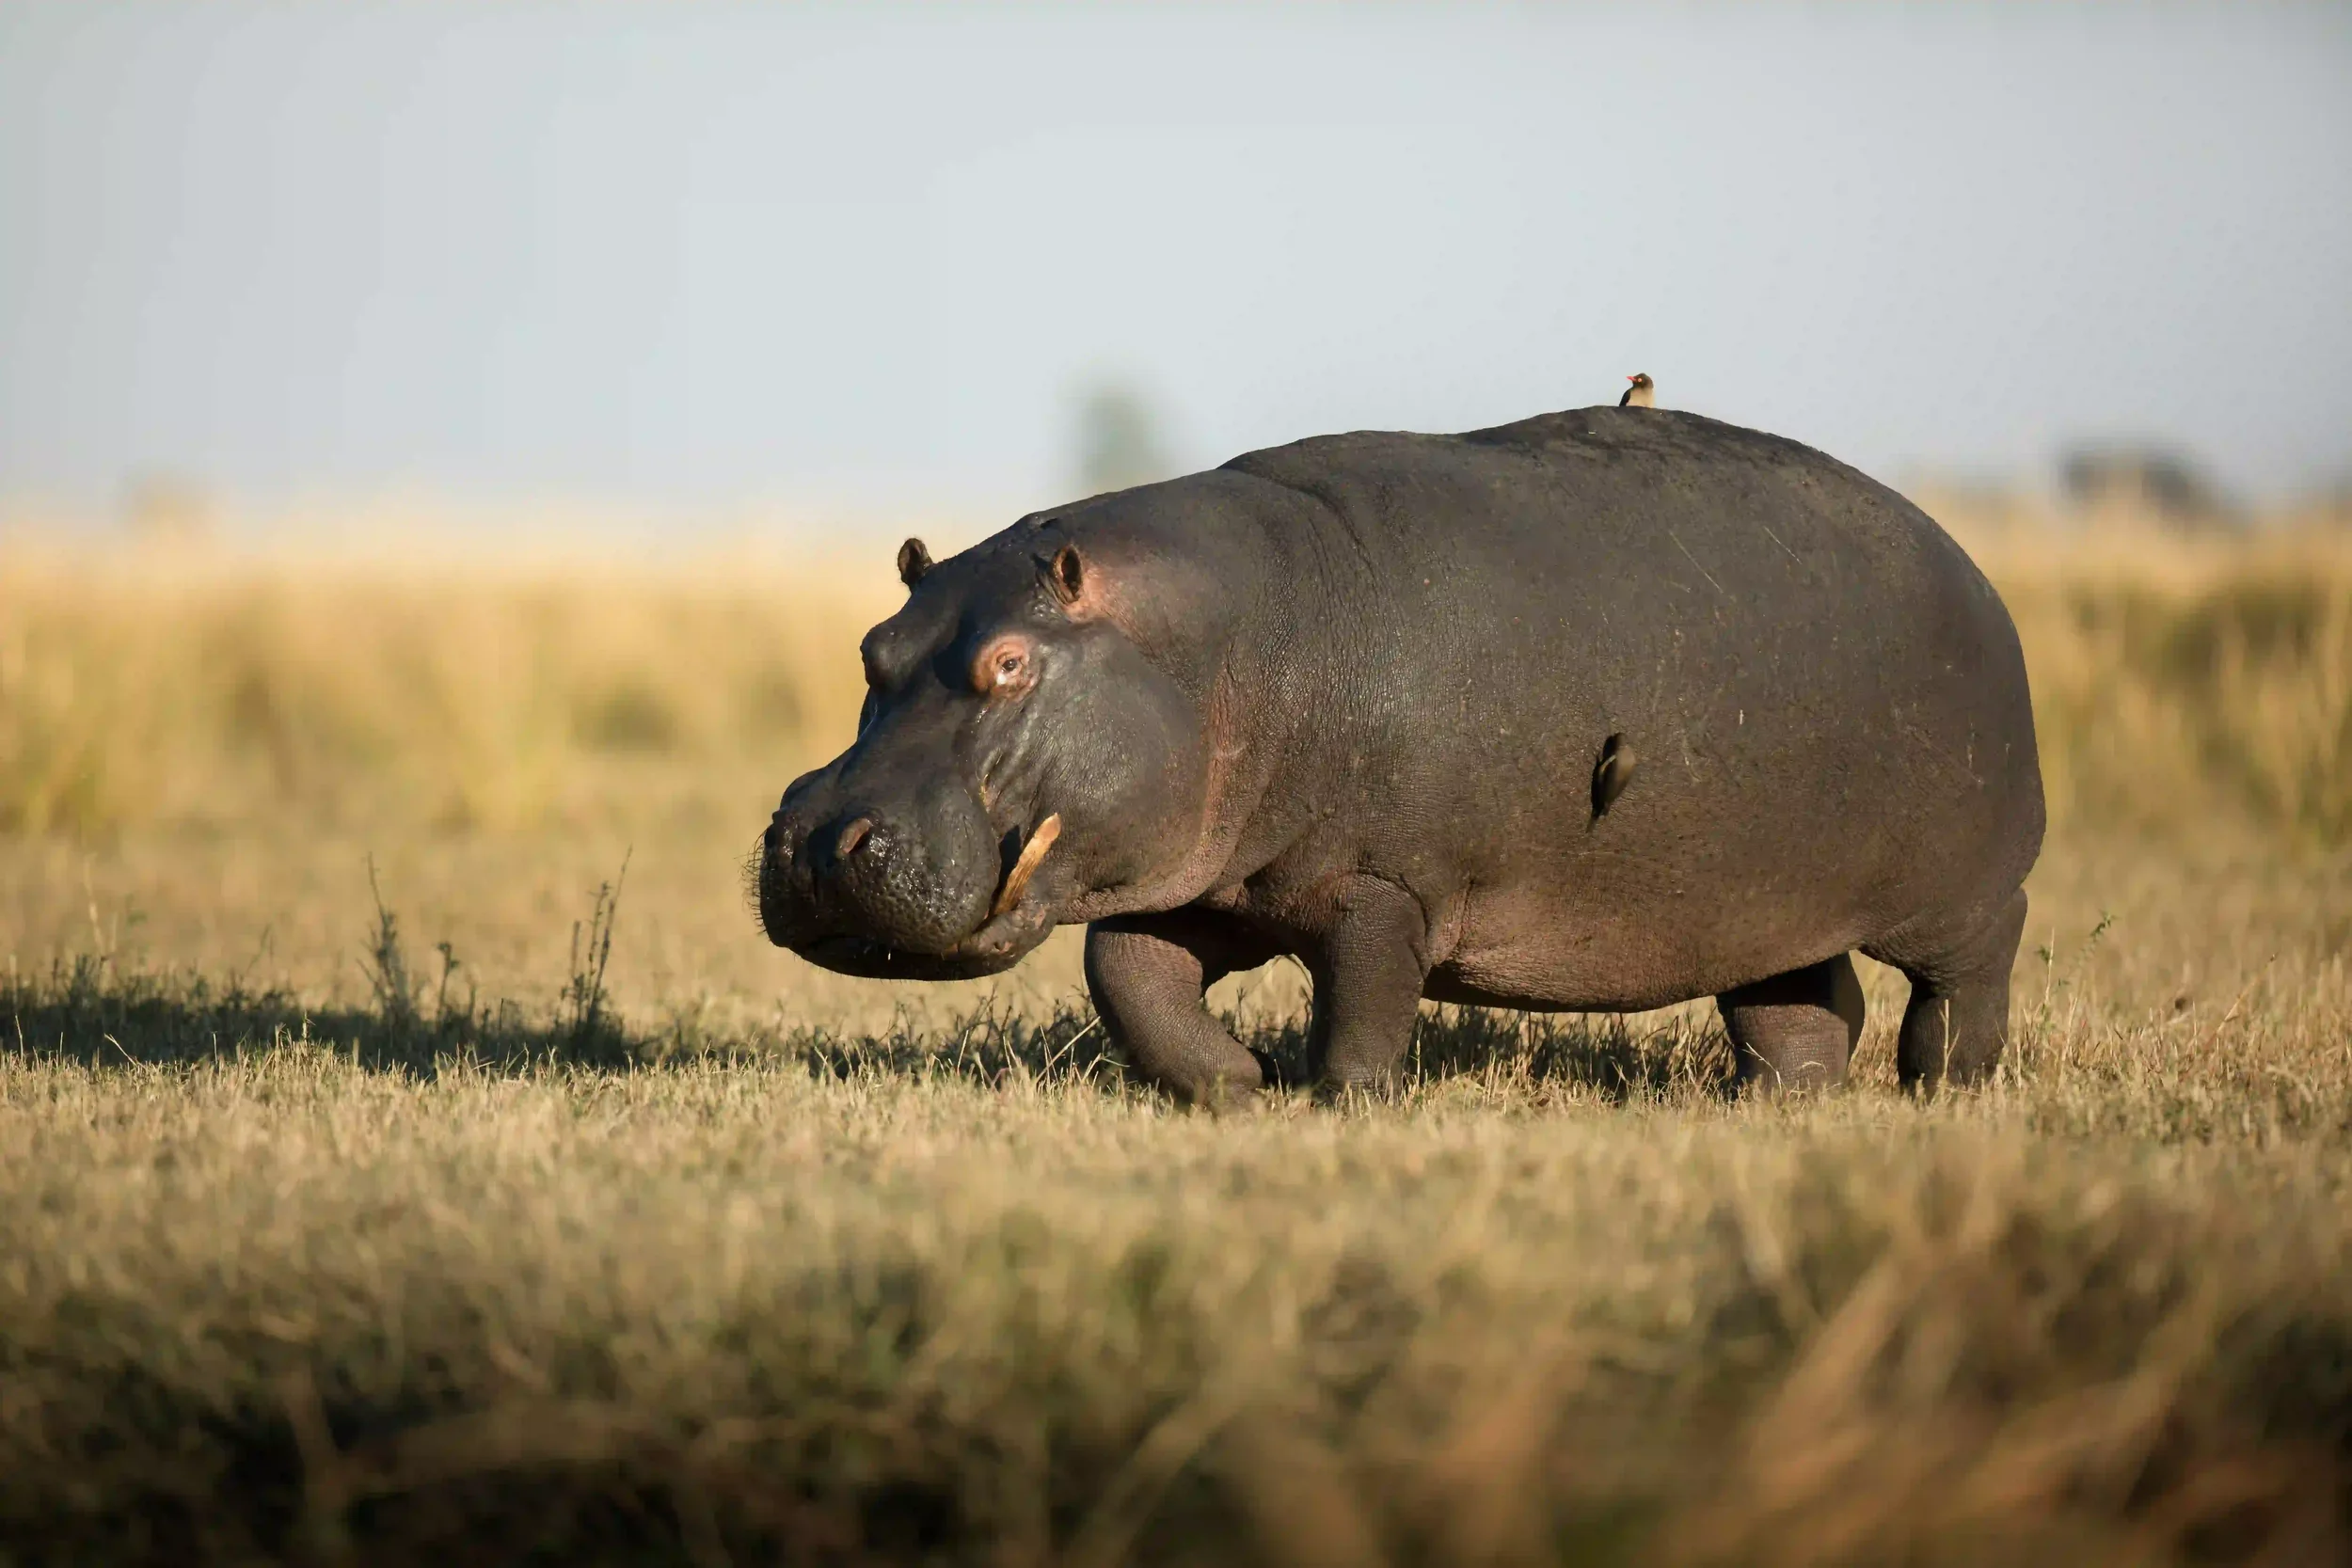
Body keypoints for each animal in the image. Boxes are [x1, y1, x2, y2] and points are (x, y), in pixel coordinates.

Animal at [756, 406, 2045, 1103]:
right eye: (874, 648)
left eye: (1012, 662)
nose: (815, 841)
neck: (1235, 640)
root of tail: (1968, 560)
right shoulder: (1220, 882)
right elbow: (1128, 975)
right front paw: (1236, 1089)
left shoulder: (1382, 884)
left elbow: (1365, 1000)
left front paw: (1342, 1103)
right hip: (1765, 898)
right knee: (1802, 998)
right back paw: (1778, 1099)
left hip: (1955, 889)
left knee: (1967, 968)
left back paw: (1942, 1083)